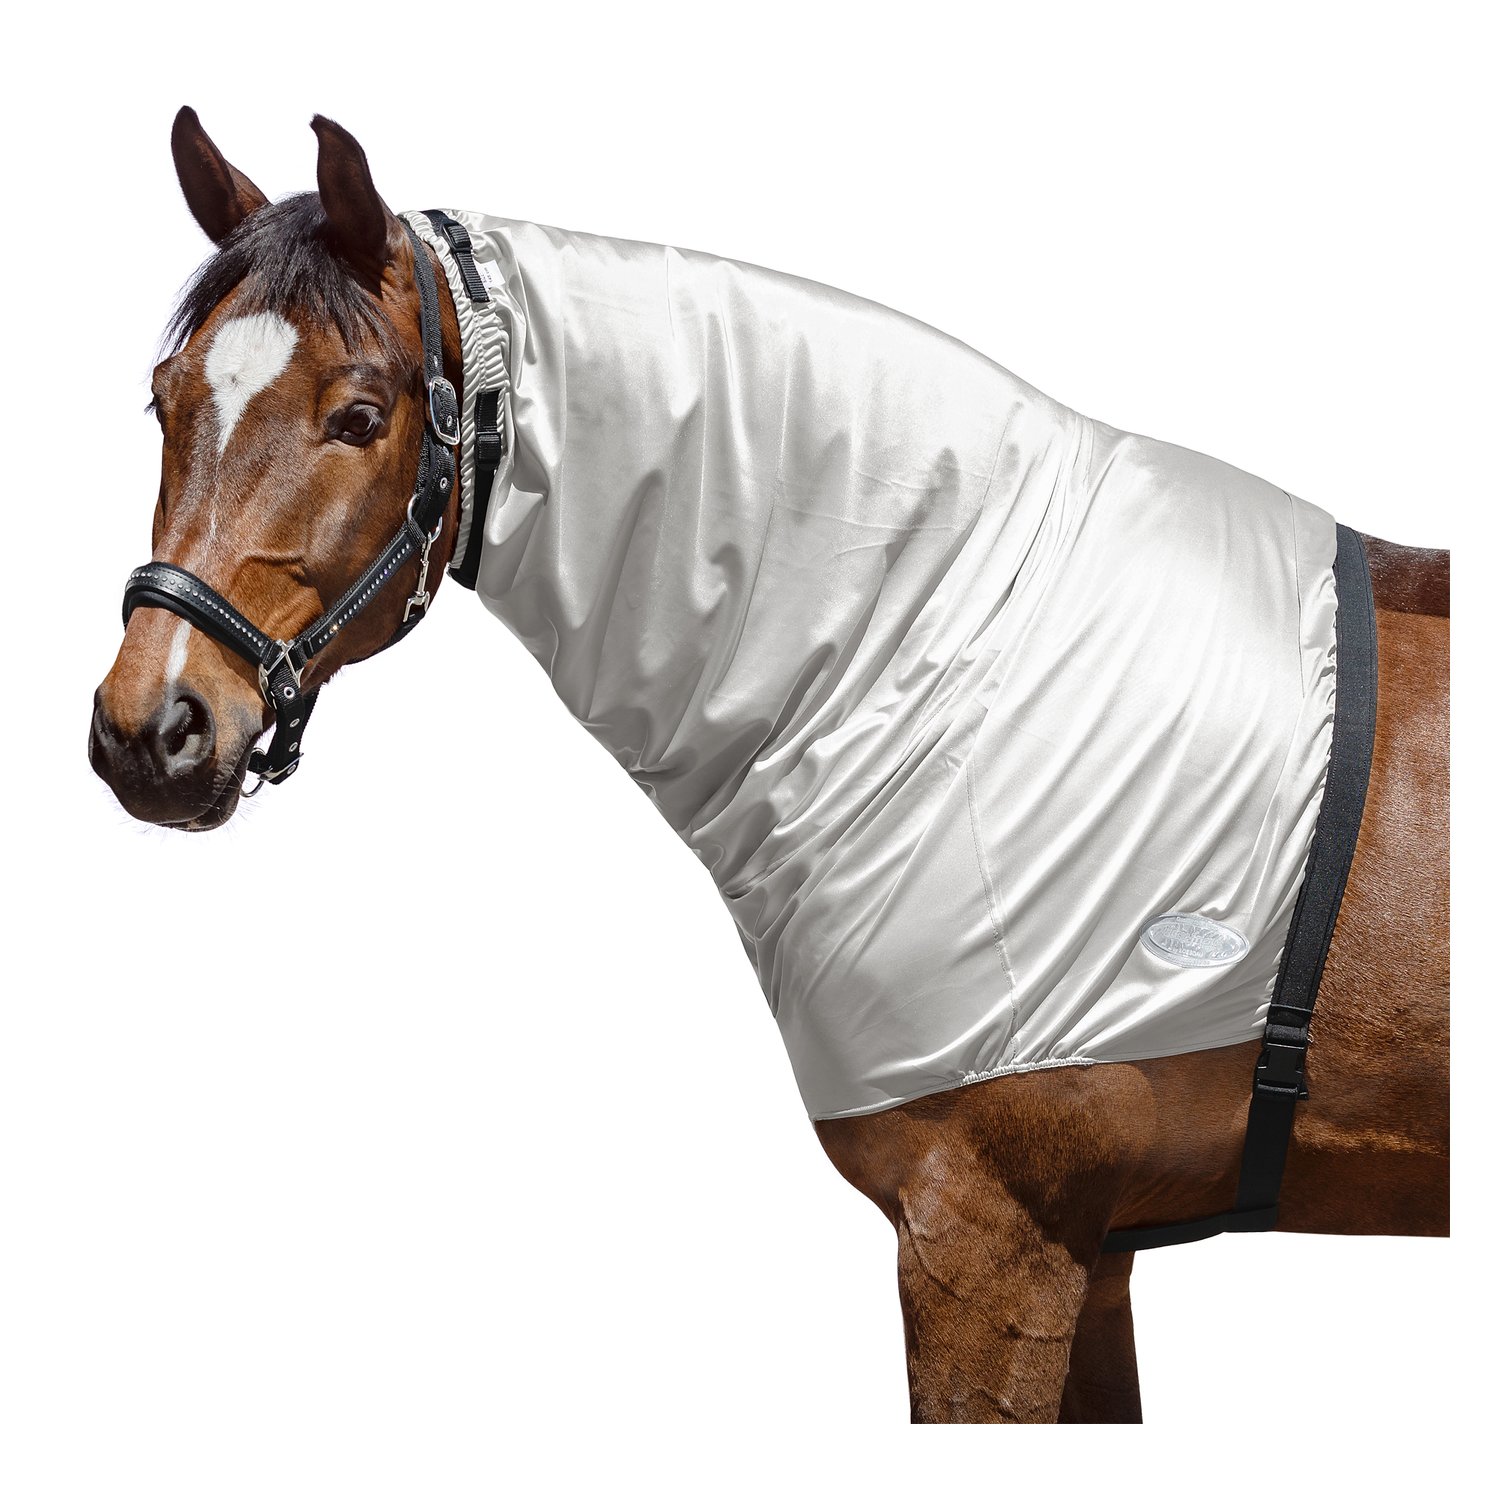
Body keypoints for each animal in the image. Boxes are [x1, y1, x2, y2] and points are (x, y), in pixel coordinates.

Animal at [89, 108, 1449, 1423]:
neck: (962, 644)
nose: (150, 731)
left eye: (360, 417)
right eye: (165, 402)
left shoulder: (995, 1239)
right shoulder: (1089, 1253)